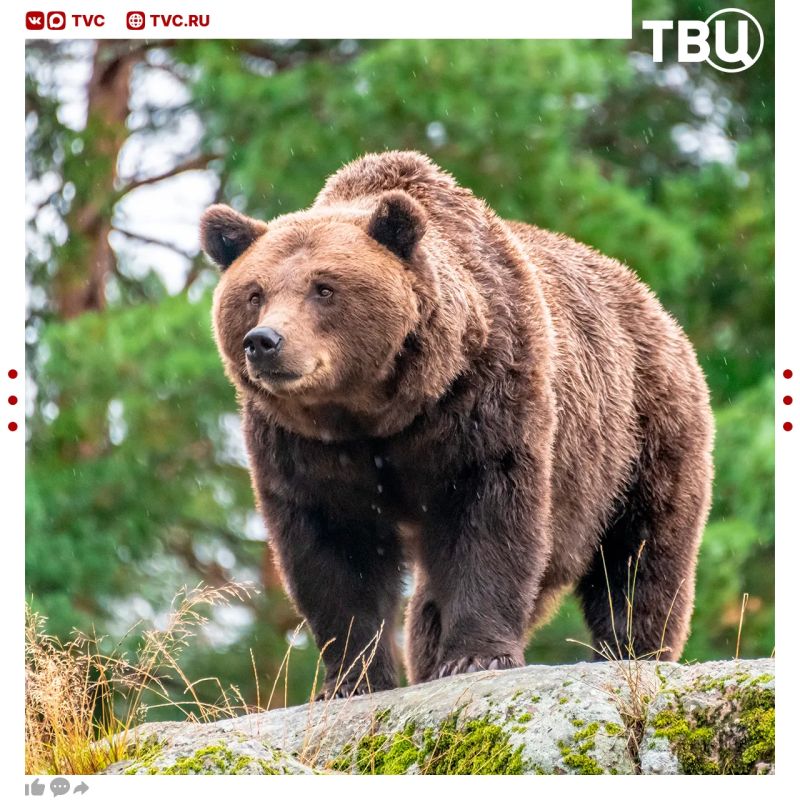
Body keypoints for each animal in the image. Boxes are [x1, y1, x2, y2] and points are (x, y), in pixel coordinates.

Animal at [200, 150, 713, 698]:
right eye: (254, 293)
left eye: (324, 288)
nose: (264, 341)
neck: (377, 412)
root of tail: (651, 302)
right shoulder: (303, 447)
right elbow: (333, 549)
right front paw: (351, 680)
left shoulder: (485, 400)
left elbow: (491, 519)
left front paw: (475, 657)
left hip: (639, 433)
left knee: (641, 553)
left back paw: (631, 651)